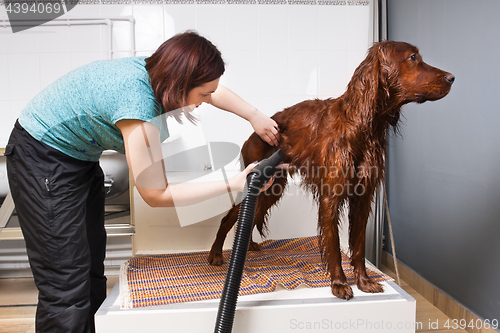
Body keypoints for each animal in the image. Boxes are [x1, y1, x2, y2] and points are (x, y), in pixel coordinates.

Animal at [206, 40, 454, 298]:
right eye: (413, 57)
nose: (452, 77)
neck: (361, 126)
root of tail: (259, 128)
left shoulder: (363, 197)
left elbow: (358, 245)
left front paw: (364, 280)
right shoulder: (330, 196)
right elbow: (333, 242)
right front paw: (340, 283)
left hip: (272, 189)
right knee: (228, 217)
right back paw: (215, 253)